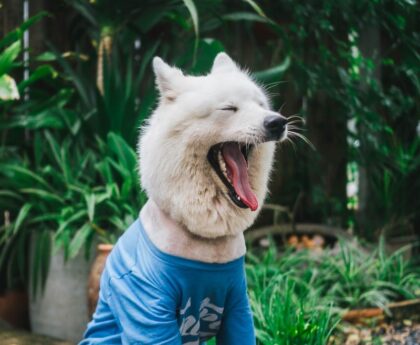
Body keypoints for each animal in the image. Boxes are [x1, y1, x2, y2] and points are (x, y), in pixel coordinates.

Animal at [80, 53, 288, 344]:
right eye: (228, 108)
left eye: (260, 105)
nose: (278, 122)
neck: (208, 244)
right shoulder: (148, 314)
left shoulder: (238, 307)